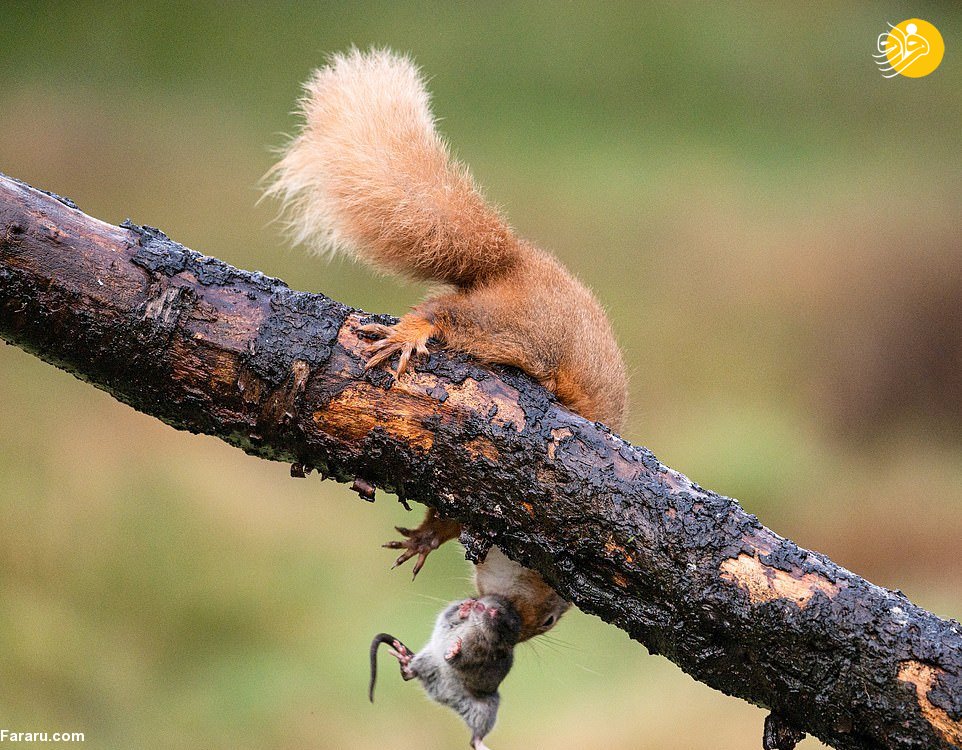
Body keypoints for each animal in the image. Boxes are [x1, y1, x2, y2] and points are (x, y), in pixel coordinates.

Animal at [264, 48, 624, 648]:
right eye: (552, 617)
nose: (512, 631)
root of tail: (516, 261)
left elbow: (449, 519)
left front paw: (424, 539)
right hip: (516, 333)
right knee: (443, 314)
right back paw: (410, 333)